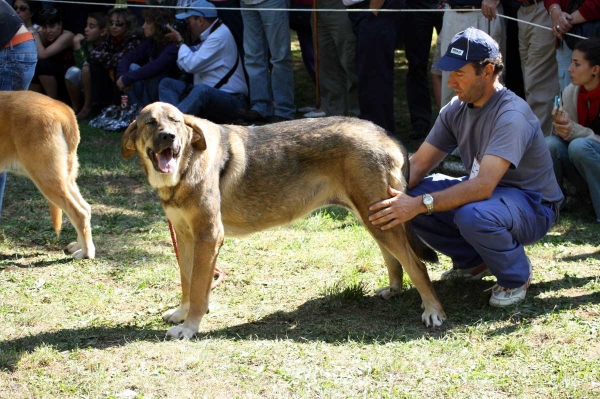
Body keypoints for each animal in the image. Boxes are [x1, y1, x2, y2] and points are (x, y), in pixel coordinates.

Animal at [0, 90, 95, 260]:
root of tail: (62, 108)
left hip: (46, 177)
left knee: (80, 213)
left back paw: (86, 253)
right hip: (65, 179)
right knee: (86, 208)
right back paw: (78, 246)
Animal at [122, 103, 446, 340]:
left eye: (175, 121)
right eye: (151, 122)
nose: (168, 137)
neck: (186, 166)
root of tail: (386, 134)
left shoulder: (208, 237)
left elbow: (200, 290)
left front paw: (190, 327)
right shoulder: (186, 236)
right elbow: (187, 282)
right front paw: (182, 313)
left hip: (376, 217)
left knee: (416, 265)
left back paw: (433, 310)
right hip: (374, 217)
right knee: (394, 260)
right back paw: (394, 290)